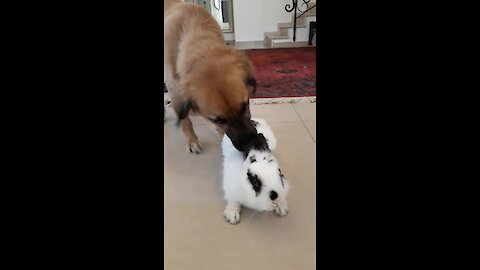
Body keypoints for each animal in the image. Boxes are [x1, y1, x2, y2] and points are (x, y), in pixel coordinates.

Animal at [165, 0, 260, 154]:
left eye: (245, 105)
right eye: (219, 120)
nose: (251, 144)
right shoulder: (173, 86)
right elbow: (185, 121)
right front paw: (192, 141)